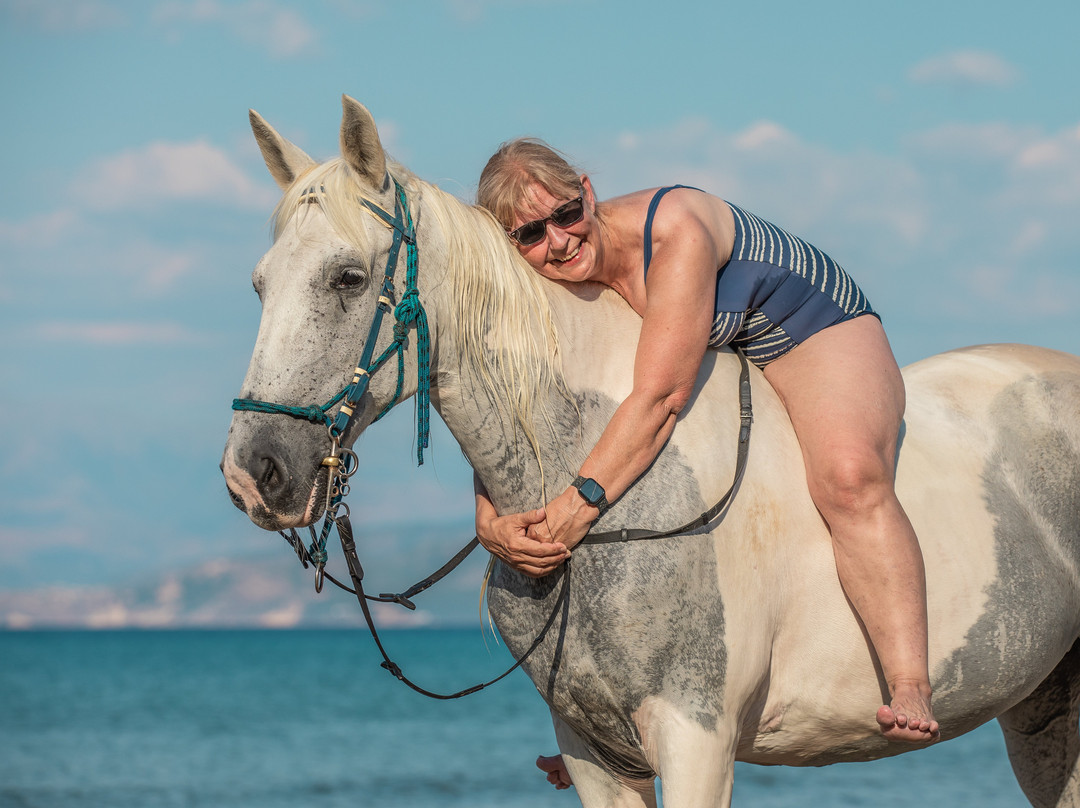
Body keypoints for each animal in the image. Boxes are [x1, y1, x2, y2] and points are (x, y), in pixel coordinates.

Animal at [221, 96, 1080, 808]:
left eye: (347, 277)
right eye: (260, 284)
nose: (253, 473)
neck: (617, 488)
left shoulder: (697, 739)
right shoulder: (593, 750)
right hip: (1046, 713)